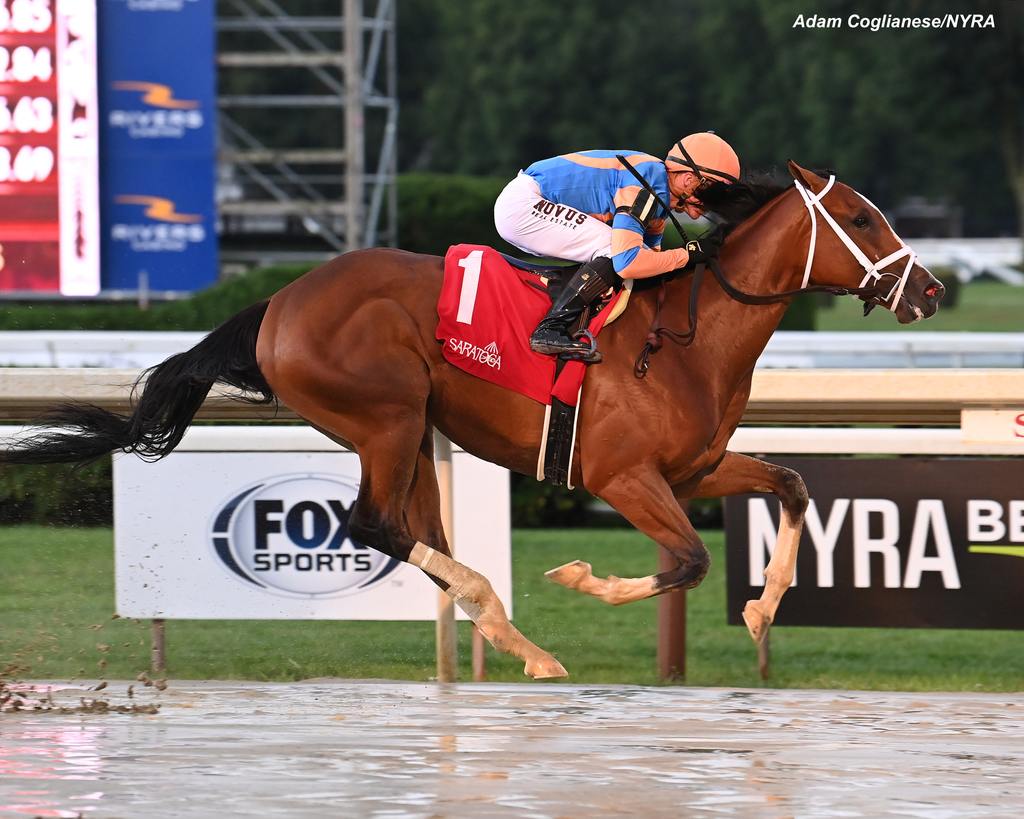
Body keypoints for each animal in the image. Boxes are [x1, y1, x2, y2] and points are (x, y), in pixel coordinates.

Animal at [2, 161, 942, 679]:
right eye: (860, 218)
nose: (930, 289)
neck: (689, 335)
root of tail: (280, 299)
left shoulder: (694, 468)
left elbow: (792, 482)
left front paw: (763, 606)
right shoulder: (621, 476)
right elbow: (689, 559)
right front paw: (582, 579)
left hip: (413, 430)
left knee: (421, 533)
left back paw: (509, 635)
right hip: (385, 416)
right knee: (375, 524)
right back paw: (512, 624)